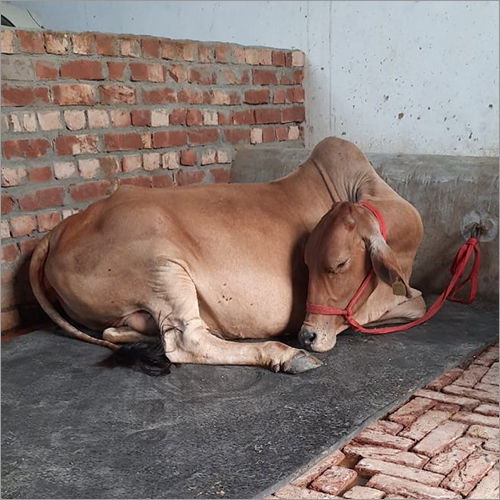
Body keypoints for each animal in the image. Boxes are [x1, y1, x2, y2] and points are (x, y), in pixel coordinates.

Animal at [28, 138, 426, 376]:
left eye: (340, 264)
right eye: (309, 263)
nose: (307, 336)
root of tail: (58, 230)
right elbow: (418, 301)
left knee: (119, 330)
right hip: (164, 269)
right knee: (186, 341)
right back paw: (287, 355)